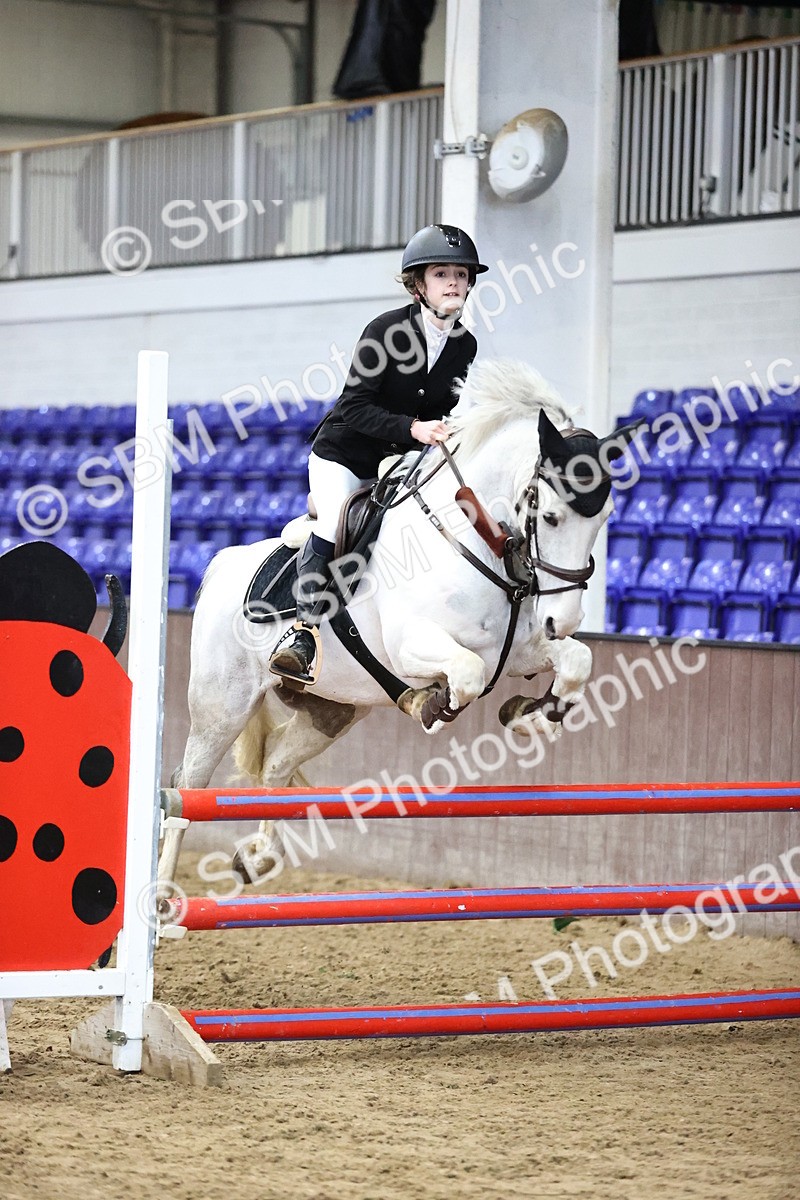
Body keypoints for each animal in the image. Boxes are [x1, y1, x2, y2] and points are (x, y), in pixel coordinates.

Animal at [162, 359, 638, 882]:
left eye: (605, 517)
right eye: (550, 517)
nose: (563, 618)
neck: (472, 535)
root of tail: (223, 564)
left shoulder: (514, 652)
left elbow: (577, 661)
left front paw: (530, 717)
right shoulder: (413, 648)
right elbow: (466, 675)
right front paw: (428, 704)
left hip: (333, 710)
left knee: (276, 765)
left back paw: (257, 857)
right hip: (221, 707)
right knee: (187, 786)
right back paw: (163, 893)